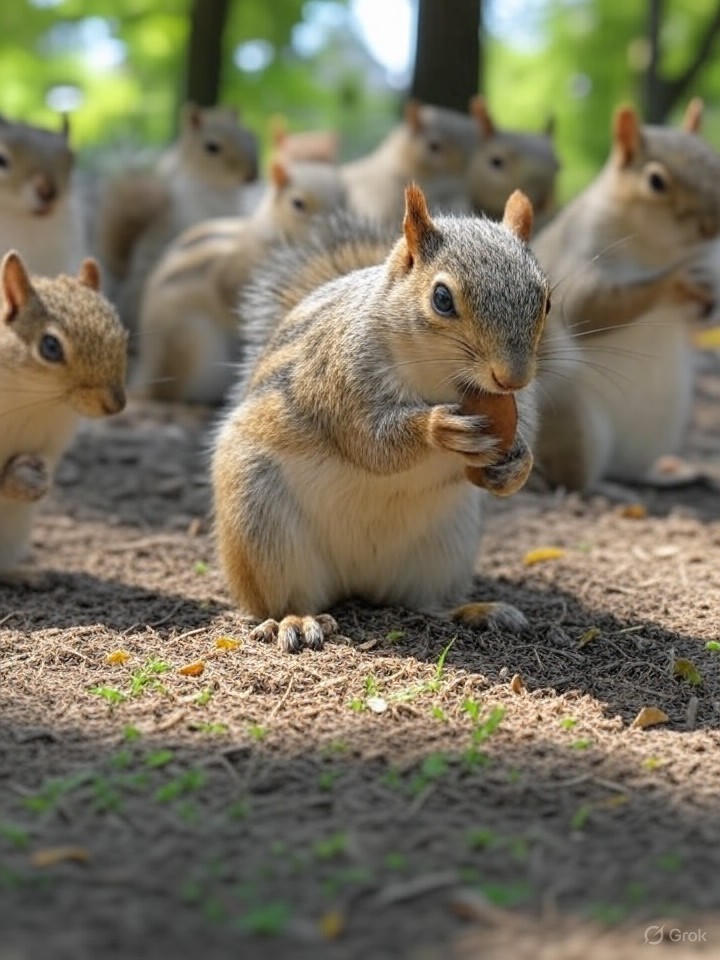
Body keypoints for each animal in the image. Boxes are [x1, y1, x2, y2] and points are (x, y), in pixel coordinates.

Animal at [0, 251, 127, 578]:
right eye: (50, 346)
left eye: (123, 337)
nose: (115, 404)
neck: (34, 400)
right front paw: (20, 480)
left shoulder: (55, 438)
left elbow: (47, 459)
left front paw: (36, 477)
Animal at [212, 184, 550, 653]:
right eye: (441, 299)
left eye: (547, 301)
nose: (512, 378)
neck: (439, 379)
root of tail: (357, 580)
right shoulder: (339, 377)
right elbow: (370, 442)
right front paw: (438, 428)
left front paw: (516, 464)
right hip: (262, 528)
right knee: (284, 595)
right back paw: (294, 619)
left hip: (446, 548)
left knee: (421, 602)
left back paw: (476, 611)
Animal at [533, 101, 720, 491]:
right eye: (656, 181)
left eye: (717, 164)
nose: (713, 226)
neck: (659, 248)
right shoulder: (581, 247)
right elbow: (587, 304)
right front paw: (674, 280)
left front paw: (709, 300)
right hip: (575, 424)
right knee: (572, 477)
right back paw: (604, 487)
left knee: (631, 472)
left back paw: (666, 476)